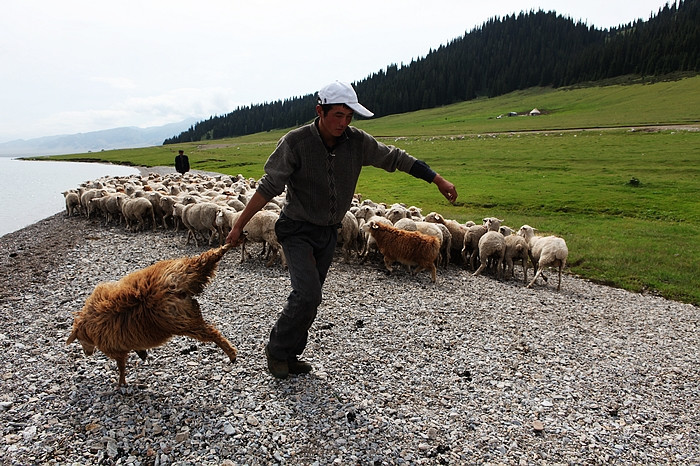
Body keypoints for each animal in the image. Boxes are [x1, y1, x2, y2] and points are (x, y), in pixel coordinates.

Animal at [67, 242, 239, 388]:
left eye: (79, 340)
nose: (87, 354)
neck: (88, 326)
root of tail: (172, 287)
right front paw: (142, 354)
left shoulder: (116, 349)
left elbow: (121, 366)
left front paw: (121, 383)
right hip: (187, 276)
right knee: (207, 259)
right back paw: (227, 245)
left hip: (179, 321)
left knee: (212, 333)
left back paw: (231, 353)